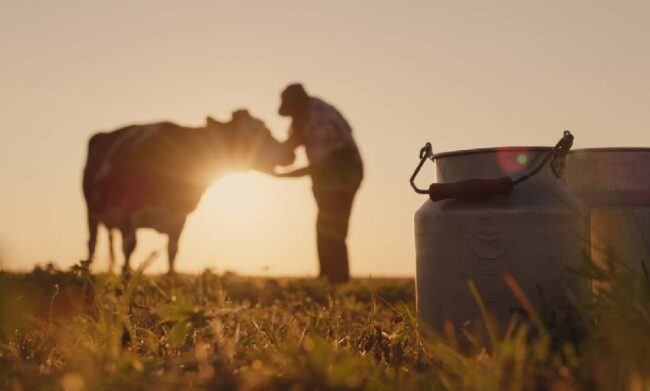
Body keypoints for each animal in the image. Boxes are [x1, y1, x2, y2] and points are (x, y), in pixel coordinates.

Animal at [83, 110, 294, 276]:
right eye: (254, 131)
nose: (289, 152)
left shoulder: (180, 217)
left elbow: (172, 252)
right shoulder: (130, 213)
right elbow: (130, 250)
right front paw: (125, 283)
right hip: (91, 212)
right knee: (92, 244)